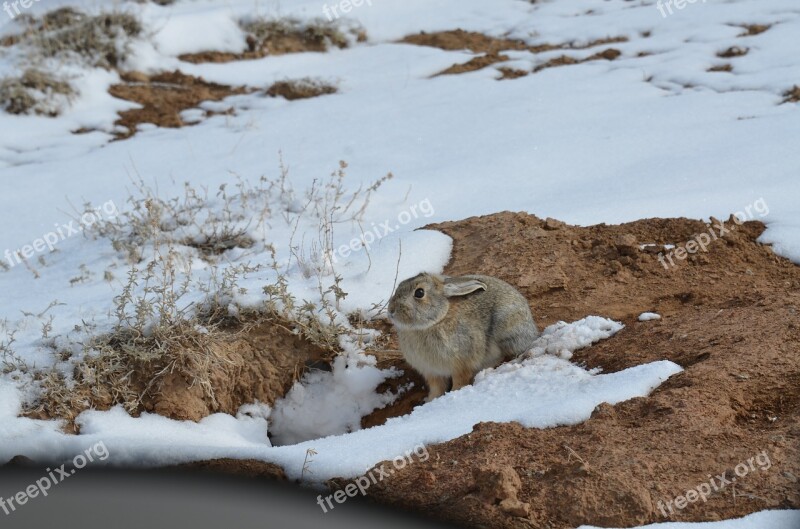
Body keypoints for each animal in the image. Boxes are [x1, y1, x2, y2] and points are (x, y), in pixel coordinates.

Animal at [386, 272, 536, 400]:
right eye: (399, 286)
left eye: (419, 293)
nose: (391, 311)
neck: (435, 321)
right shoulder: (432, 372)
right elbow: (437, 388)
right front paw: (430, 400)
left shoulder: (461, 363)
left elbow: (460, 380)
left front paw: (454, 393)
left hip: (506, 330)